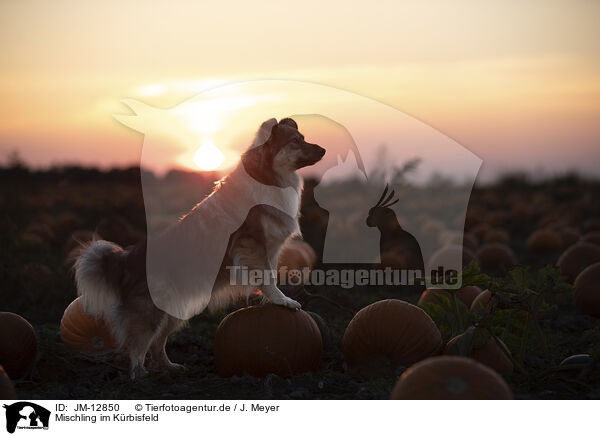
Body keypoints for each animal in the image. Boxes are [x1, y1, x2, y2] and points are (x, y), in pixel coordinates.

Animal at [75, 117, 328, 380]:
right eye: (295, 141)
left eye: (303, 137)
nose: (323, 150)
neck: (268, 177)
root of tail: (126, 258)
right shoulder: (252, 245)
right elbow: (268, 279)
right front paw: (284, 301)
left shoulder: (270, 249)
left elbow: (266, 278)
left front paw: (269, 300)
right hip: (150, 311)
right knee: (138, 343)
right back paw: (140, 375)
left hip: (173, 312)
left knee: (157, 343)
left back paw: (170, 368)